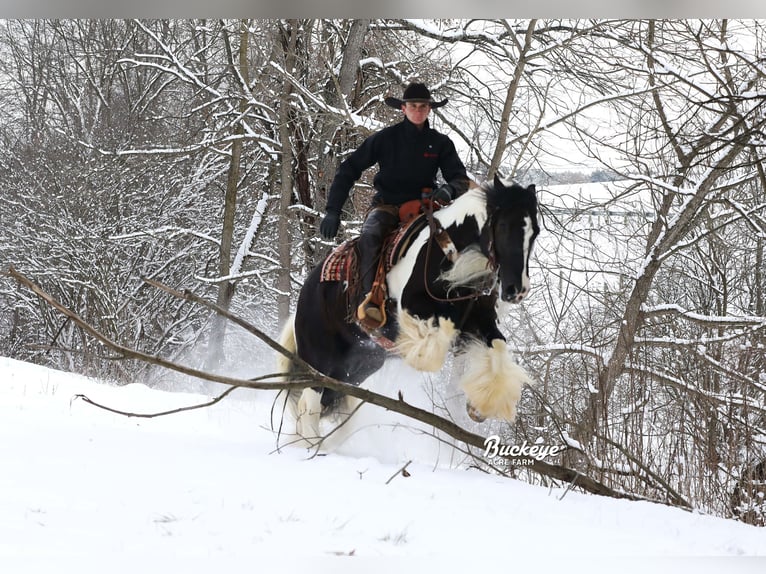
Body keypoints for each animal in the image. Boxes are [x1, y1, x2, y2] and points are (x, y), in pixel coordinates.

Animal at [276, 176, 540, 446]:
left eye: (536, 232)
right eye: (504, 226)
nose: (517, 290)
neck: (447, 253)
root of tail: (307, 291)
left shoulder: (479, 320)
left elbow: (497, 345)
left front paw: (481, 405)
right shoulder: (412, 308)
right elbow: (434, 341)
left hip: (359, 364)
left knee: (331, 397)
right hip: (318, 358)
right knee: (310, 402)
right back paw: (312, 444)